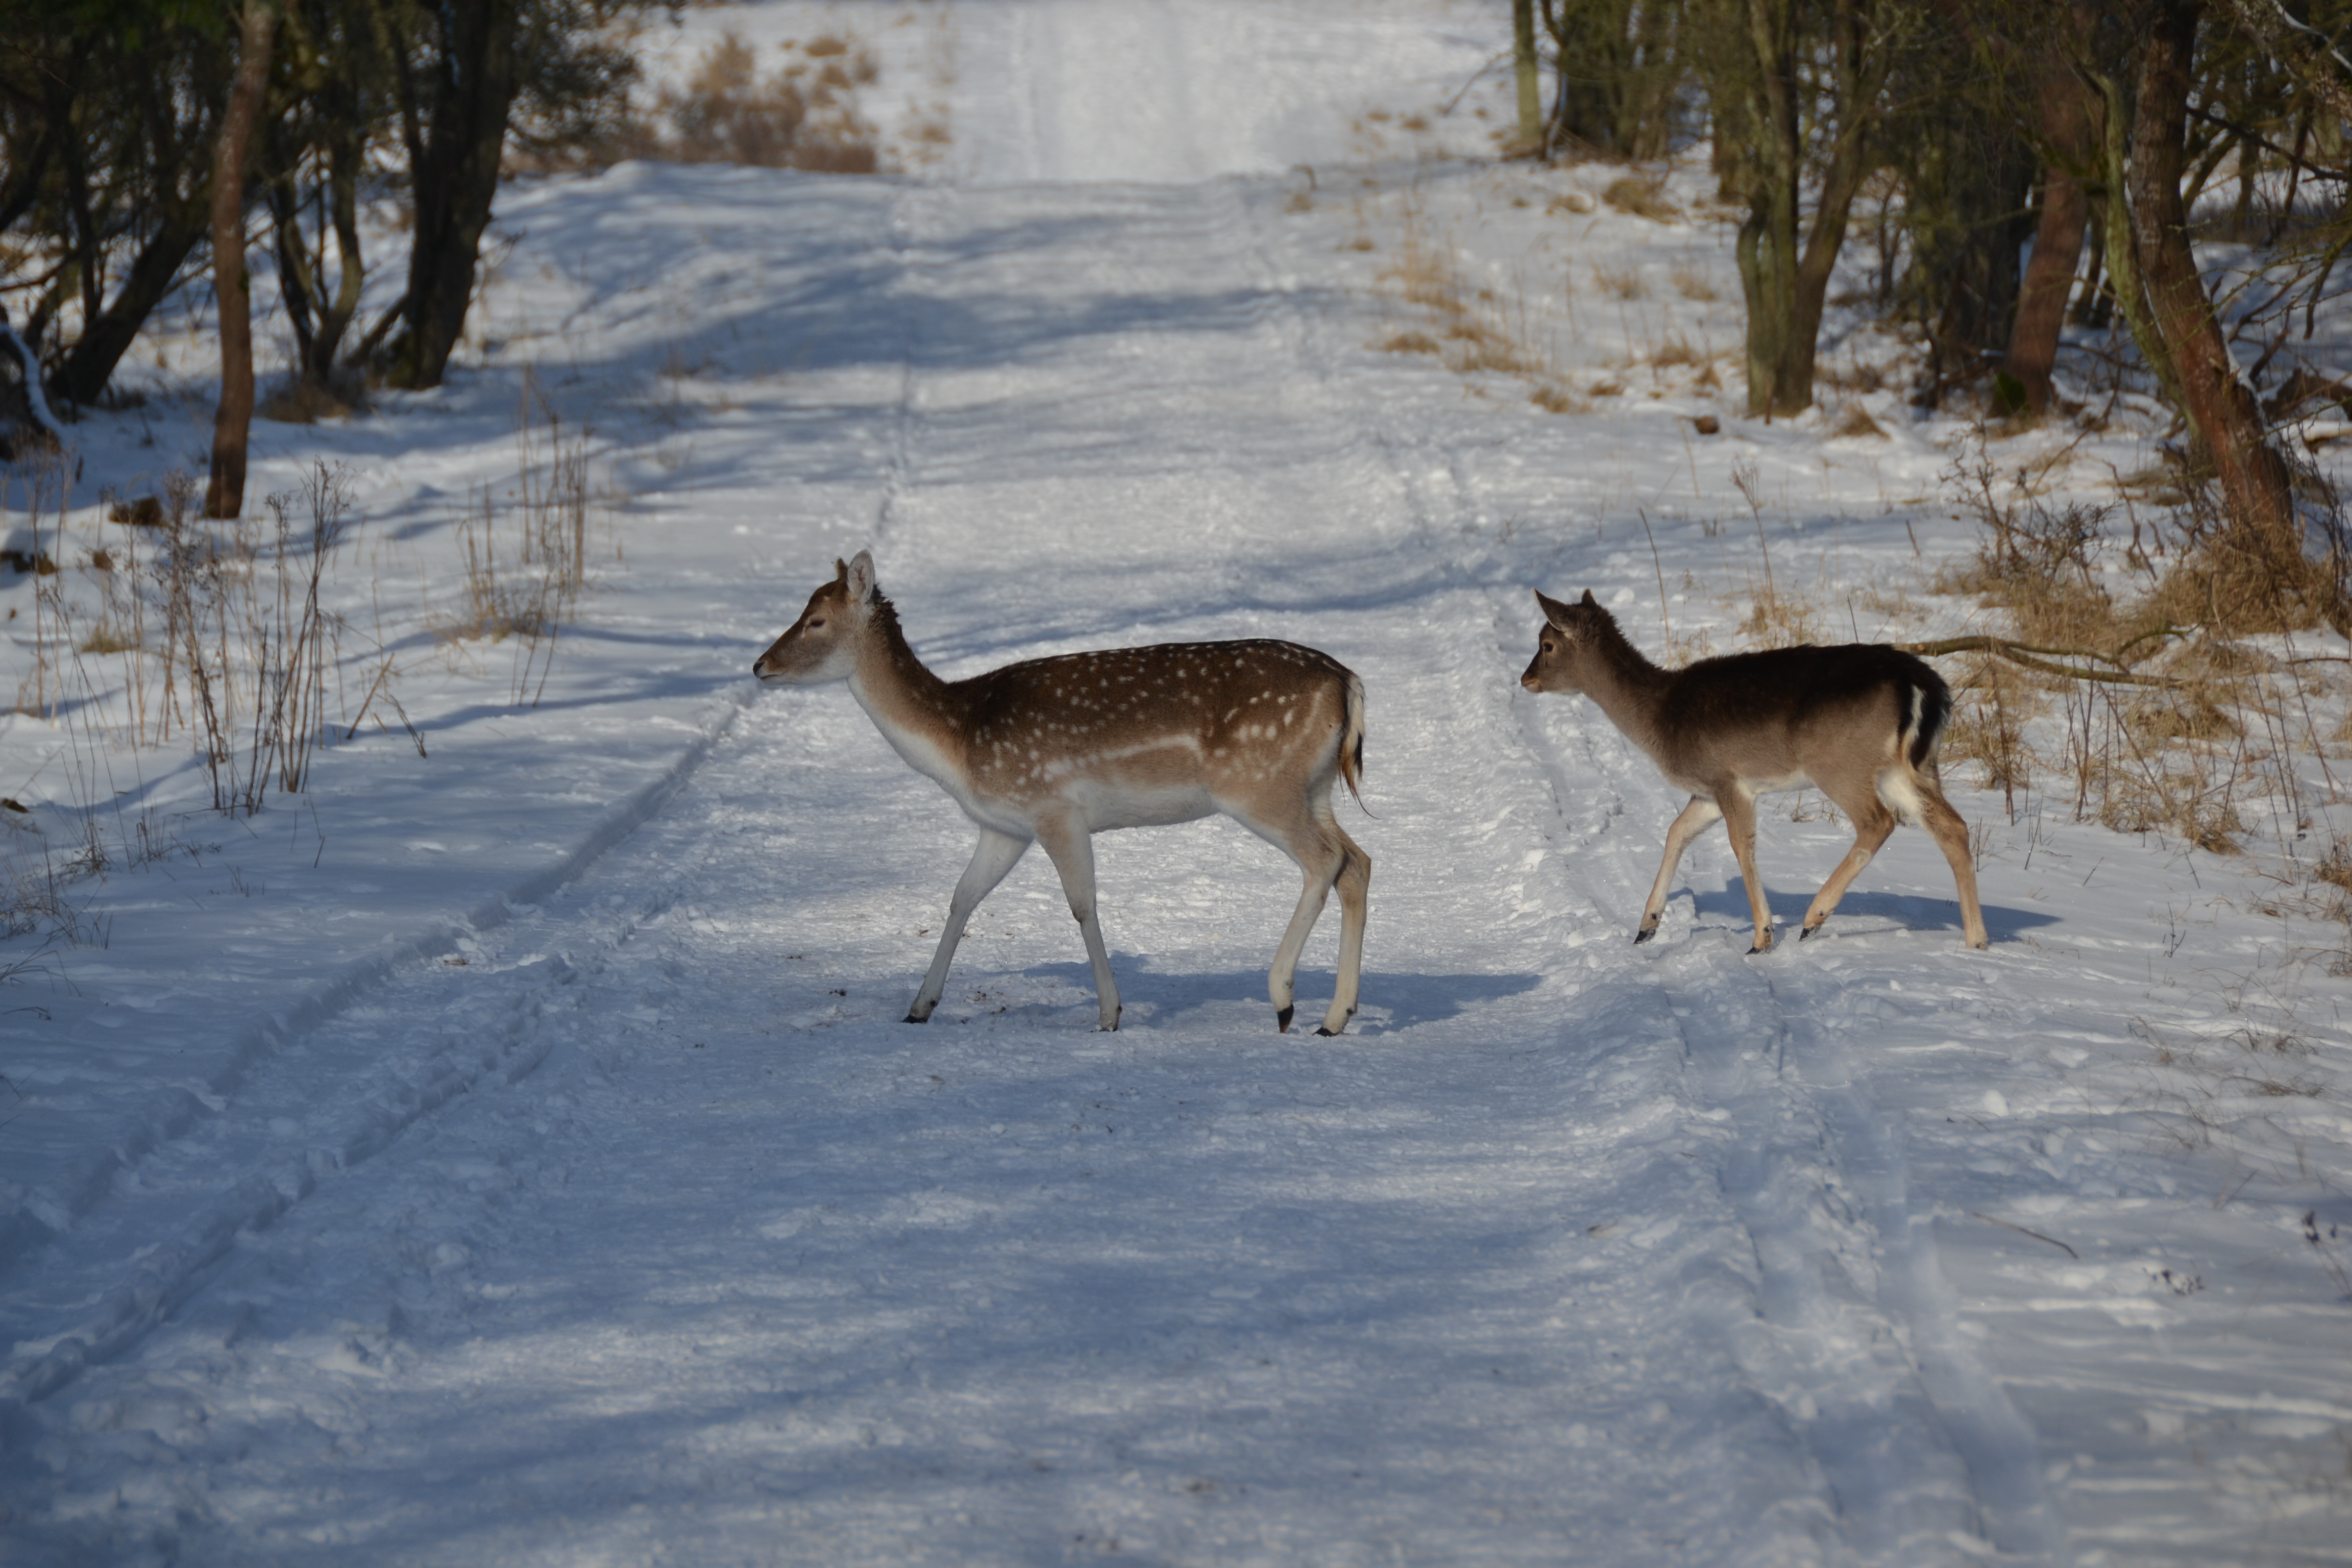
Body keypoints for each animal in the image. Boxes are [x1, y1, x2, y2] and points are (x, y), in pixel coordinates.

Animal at [754, 552, 1371, 1034]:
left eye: (815, 620)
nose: (760, 665)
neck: (959, 743)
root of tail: (1349, 683)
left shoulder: (1054, 807)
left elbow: (1081, 904)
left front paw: (1109, 1013)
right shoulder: (1004, 826)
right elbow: (962, 897)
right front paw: (919, 1006)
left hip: (1259, 786)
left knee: (1326, 860)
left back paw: (1284, 1000)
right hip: (1313, 787)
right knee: (1358, 861)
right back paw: (1335, 1016)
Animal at [1520, 590, 1988, 953]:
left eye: (1547, 644)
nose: (1525, 679)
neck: (1659, 720)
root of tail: (1926, 686)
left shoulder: (1727, 779)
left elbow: (1740, 845)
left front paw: (1762, 937)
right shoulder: (1706, 791)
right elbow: (1675, 833)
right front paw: (1646, 927)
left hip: (1839, 764)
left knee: (1879, 822)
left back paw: (1813, 917)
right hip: (1911, 766)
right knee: (1953, 826)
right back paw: (1977, 941)